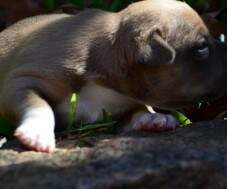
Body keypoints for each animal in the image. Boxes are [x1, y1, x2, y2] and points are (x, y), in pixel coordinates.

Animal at [0, 0, 227, 151]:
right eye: (202, 48)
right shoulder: (22, 81)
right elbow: (38, 104)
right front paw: (37, 132)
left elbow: (138, 110)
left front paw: (154, 118)